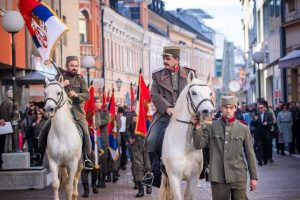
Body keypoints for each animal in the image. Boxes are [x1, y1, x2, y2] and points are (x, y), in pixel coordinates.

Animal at [159, 72, 216, 200]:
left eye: (210, 93)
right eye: (194, 92)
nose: (209, 111)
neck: (185, 145)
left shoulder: (194, 178)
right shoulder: (174, 178)